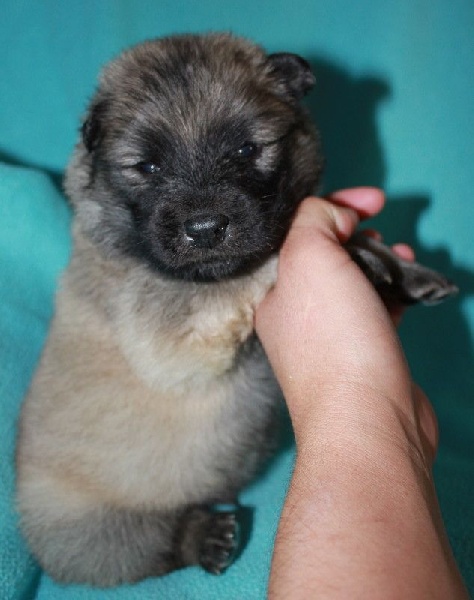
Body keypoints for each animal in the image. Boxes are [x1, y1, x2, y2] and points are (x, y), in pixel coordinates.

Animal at [16, 32, 457, 587]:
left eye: (247, 148)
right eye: (147, 166)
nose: (204, 228)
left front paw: (403, 270)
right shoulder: (170, 334)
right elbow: (270, 260)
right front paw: (362, 260)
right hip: (97, 533)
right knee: (149, 548)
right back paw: (208, 536)